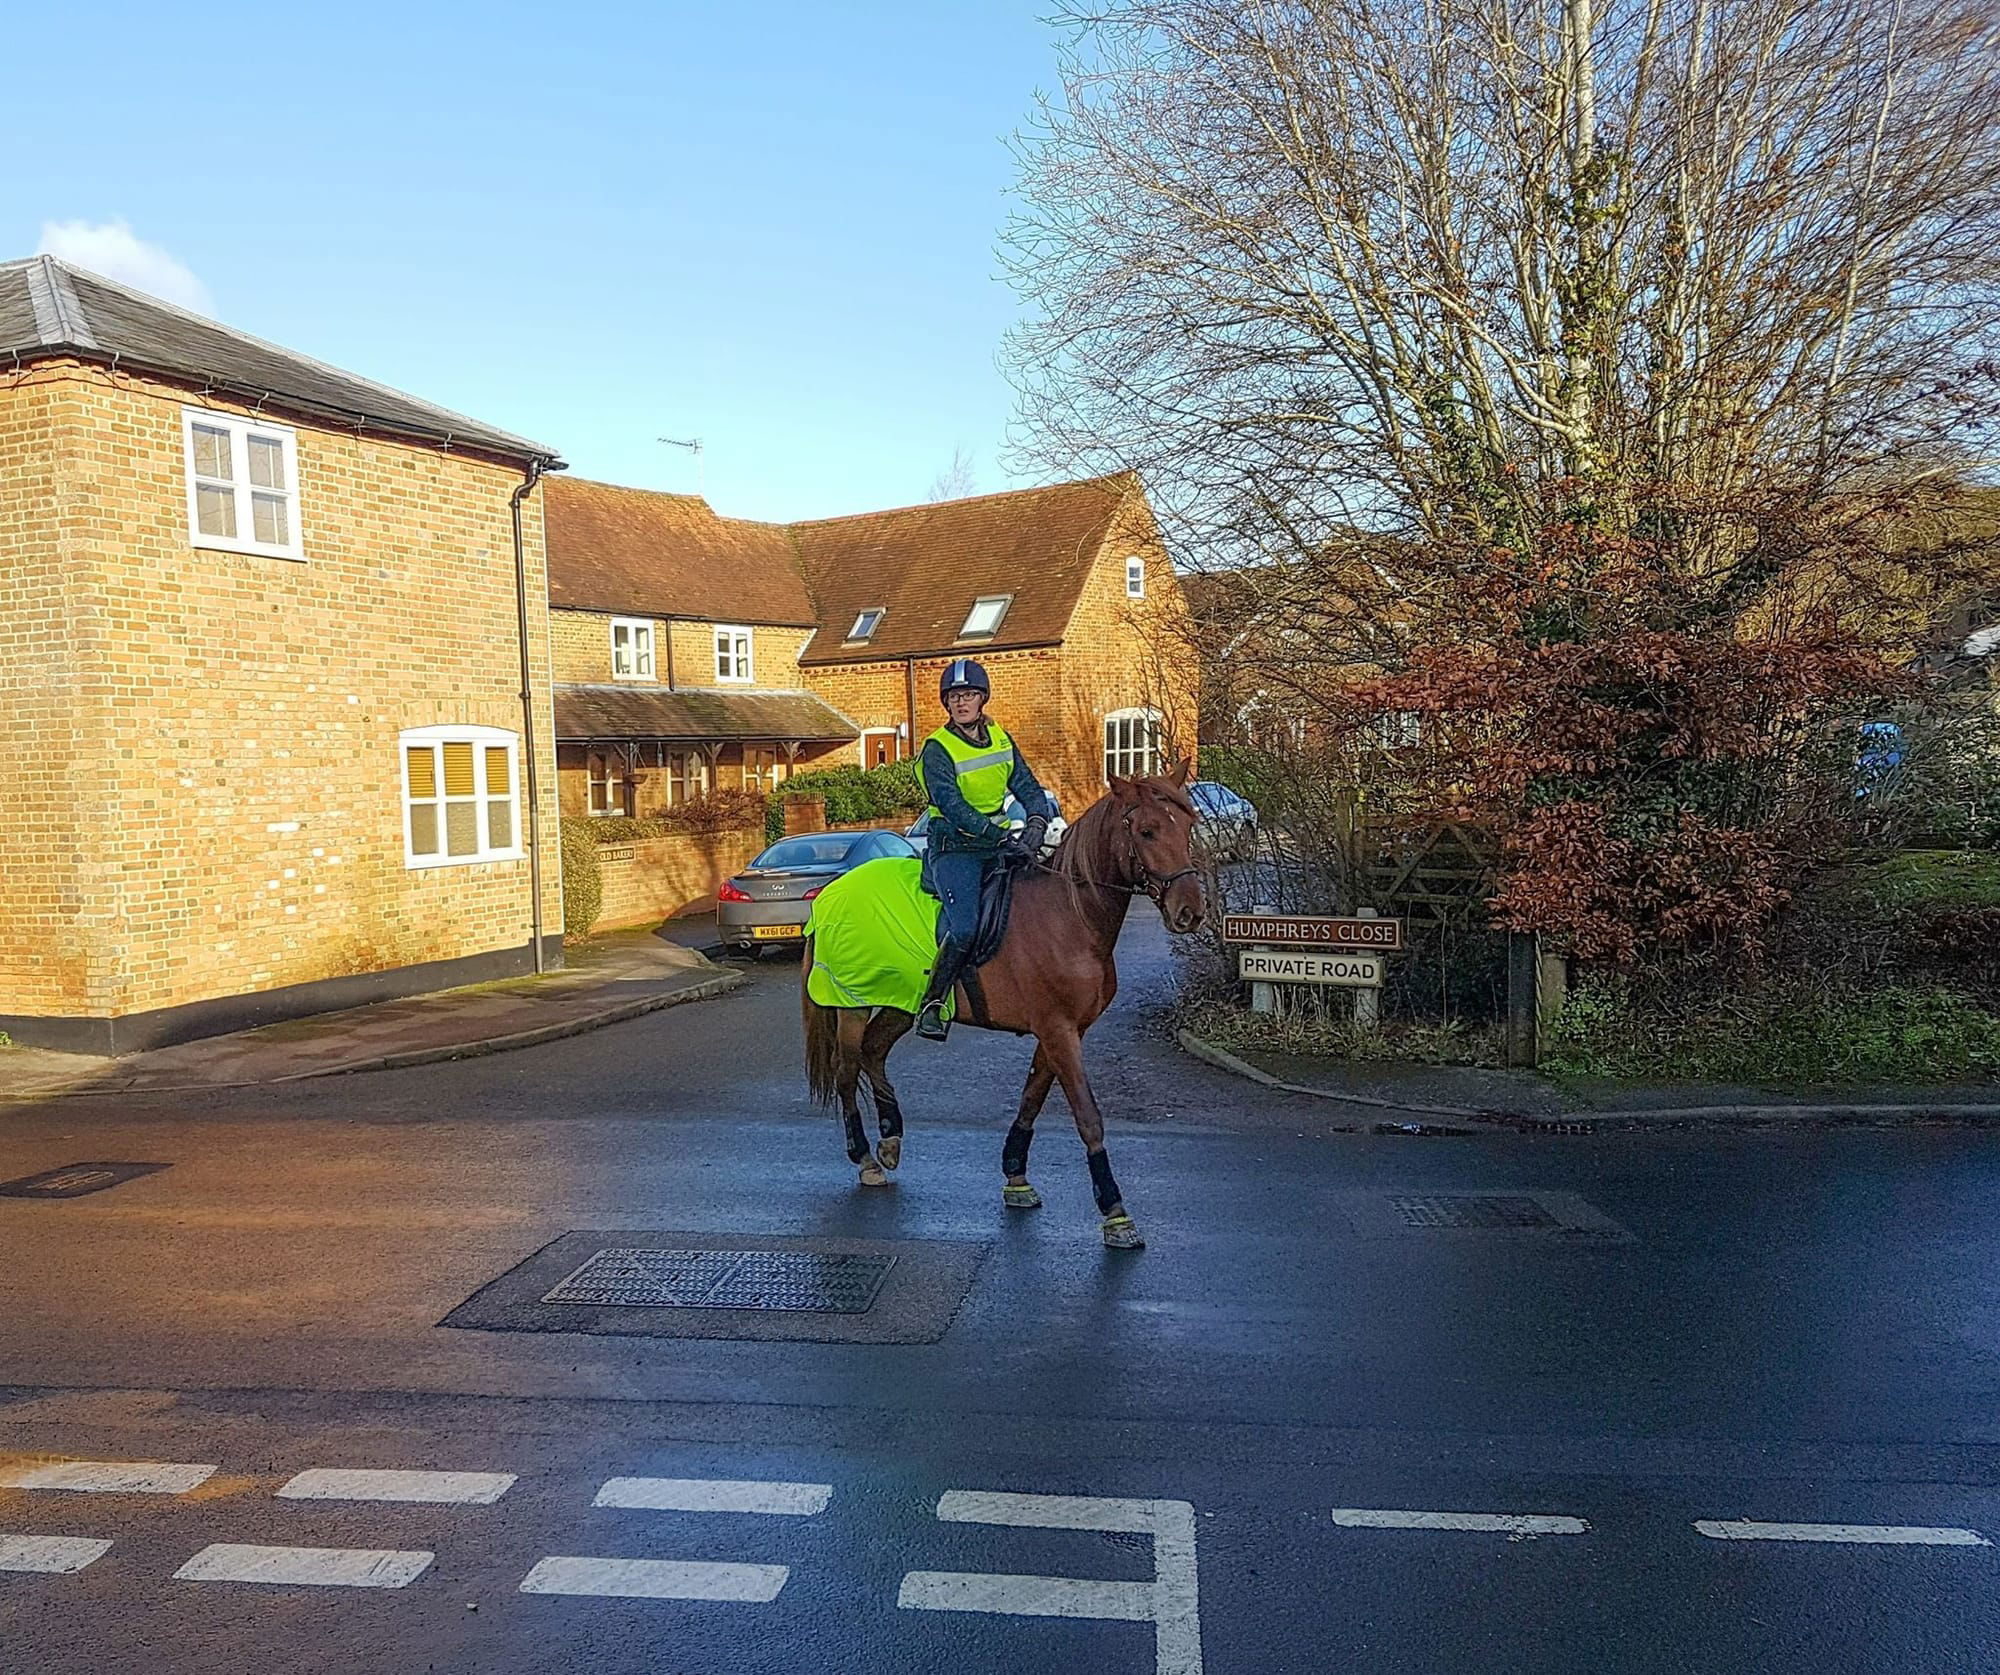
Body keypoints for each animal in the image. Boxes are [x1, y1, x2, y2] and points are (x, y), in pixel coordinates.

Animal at [804, 767, 1208, 1255]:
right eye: (1147, 831)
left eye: (1188, 826)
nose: (1190, 911)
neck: (1070, 914)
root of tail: (830, 892)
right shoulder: (1058, 1031)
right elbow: (1087, 1116)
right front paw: (1114, 1212)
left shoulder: (1063, 1031)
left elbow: (1031, 1097)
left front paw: (1016, 1175)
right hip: (853, 1005)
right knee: (847, 1070)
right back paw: (865, 1156)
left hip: (902, 1002)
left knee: (874, 1053)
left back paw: (891, 1139)